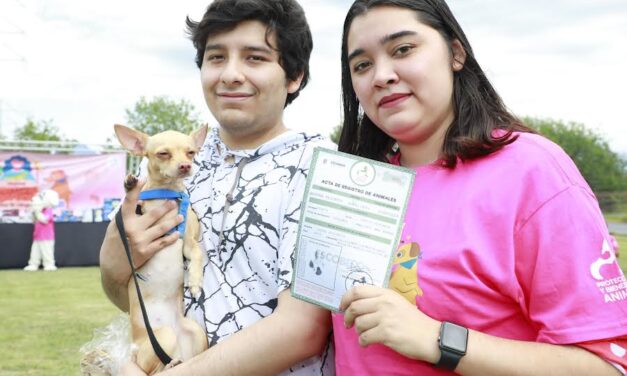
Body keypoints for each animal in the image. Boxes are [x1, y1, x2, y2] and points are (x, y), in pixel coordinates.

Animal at [114, 124, 210, 374]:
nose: (185, 166)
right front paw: (130, 185)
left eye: (191, 153)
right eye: (163, 154)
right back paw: (170, 363)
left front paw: (195, 281)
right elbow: (136, 198)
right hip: (162, 338)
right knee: (154, 369)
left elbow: (197, 254)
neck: (168, 193)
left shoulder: (188, 242)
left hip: (195, 333)